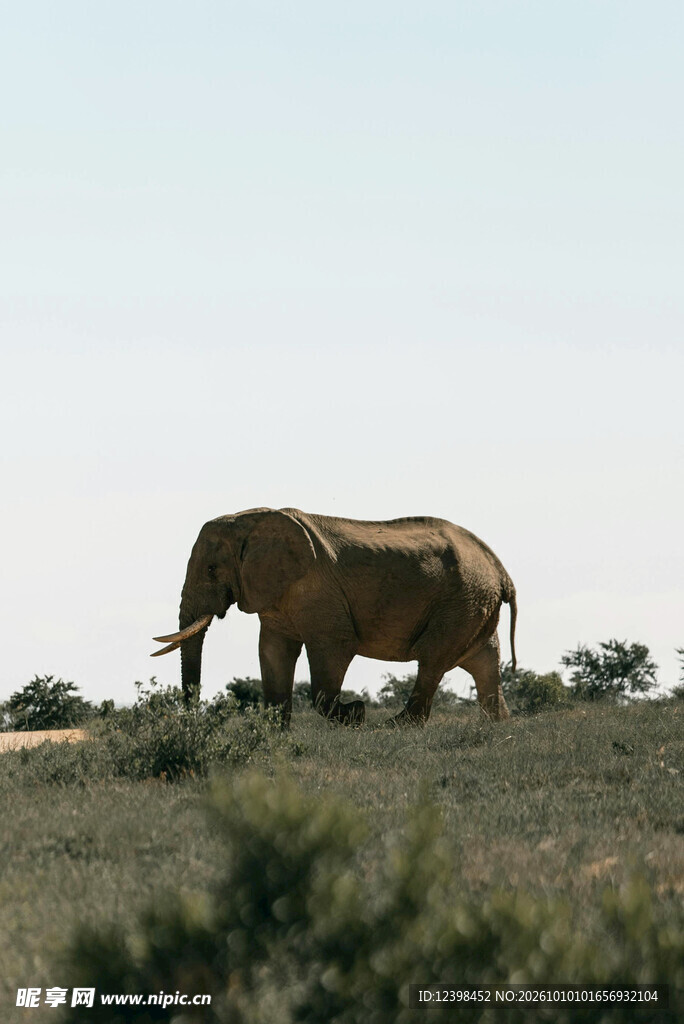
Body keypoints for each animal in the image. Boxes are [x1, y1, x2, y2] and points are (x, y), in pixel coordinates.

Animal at [151, 507, 517, 726]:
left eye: (211, 570)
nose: (191, 720)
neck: (251, 520)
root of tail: (500, 569)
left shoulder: (318, 592)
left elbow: (333, 650)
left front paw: (356, 713)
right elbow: (273, 651)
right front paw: (276, 735)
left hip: (460, 602)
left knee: (432, 660)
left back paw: (394, 726)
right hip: (473, 604)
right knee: (484, 662)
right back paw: (497, 725)